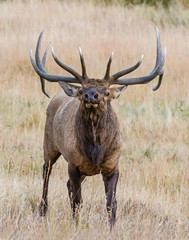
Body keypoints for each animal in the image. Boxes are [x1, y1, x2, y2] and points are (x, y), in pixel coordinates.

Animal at [29, 27, 165, 230]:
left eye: (107, 92)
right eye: (81, 90)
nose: (90, 95)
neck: (95, 150)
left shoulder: (113, 165)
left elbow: (111, 203)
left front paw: (111, 228)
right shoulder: (73, 163)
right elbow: (77, 201)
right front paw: (76, 226)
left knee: (67, 185)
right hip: (49, 144)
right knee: (46, 174)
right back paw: (42, 212)